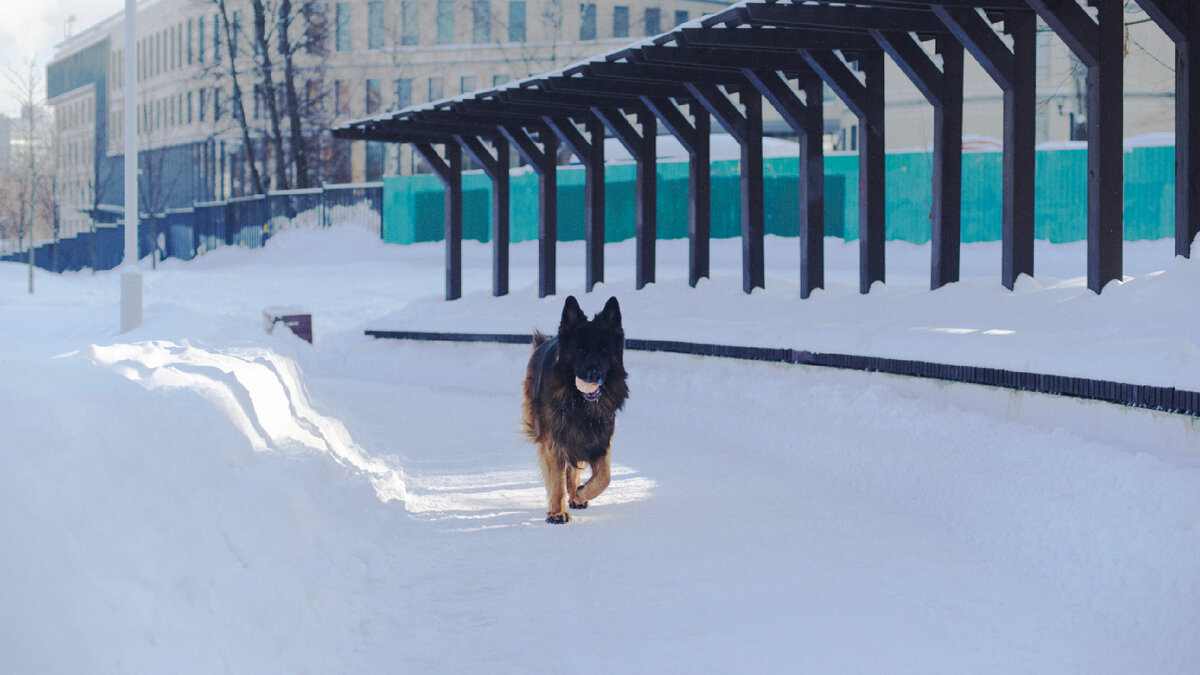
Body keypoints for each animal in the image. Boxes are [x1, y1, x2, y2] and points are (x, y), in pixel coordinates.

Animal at [528, 294, 633, 521]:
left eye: (604, 350)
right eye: (581, 350)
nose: (594, 374)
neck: (579, 405)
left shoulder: (599, 439)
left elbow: (605, 477)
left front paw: (581, 493)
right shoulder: (554, 441)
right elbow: (557, 480)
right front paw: (558, 512)